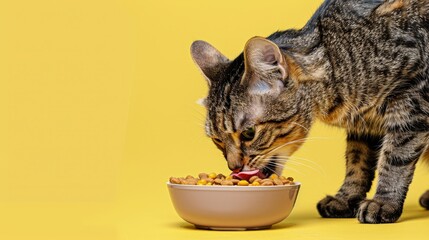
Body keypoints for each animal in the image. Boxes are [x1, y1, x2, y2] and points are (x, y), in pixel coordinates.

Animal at [190, 0, 428, 224]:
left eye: (249, 134)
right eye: (217, 140)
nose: (233, 166)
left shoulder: (411, 100)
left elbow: (395, 157)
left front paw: (384, 202)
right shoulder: (363, 125)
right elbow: (357, 162)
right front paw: (345, 198)